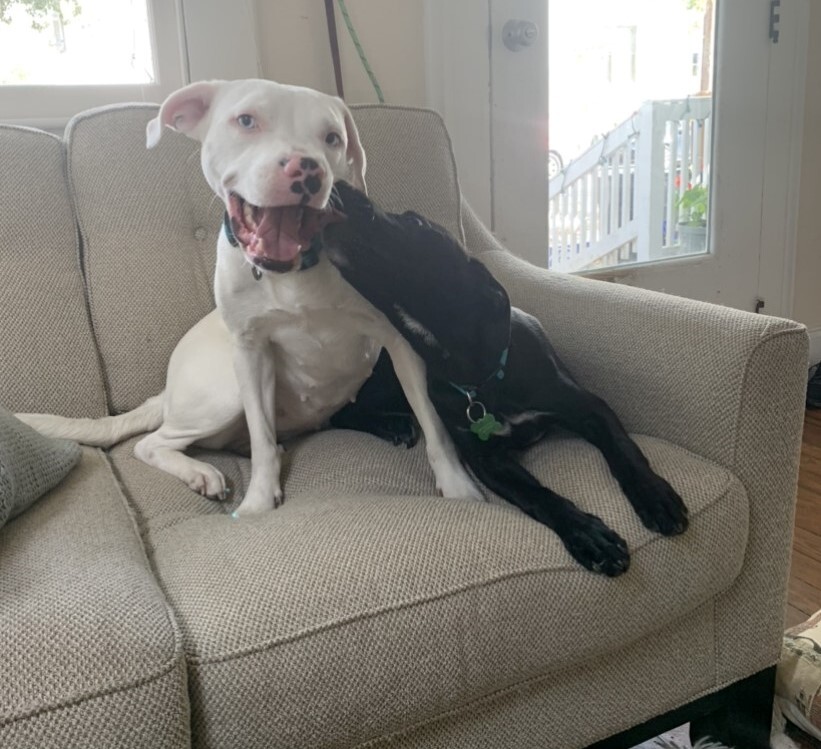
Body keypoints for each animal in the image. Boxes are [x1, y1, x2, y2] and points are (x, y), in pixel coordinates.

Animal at [19, 80, 484, 516]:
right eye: (246, 121)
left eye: (332, 137)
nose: (306, 169)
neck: (294, 271)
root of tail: (164, 394)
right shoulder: (251, 351)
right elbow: (260, 436)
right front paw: (259, 502)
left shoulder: (399, 341)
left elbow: (434, 424)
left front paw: (459, 489)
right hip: (222, 388)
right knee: (152, 443)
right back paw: (202, 472)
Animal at [324, 183, 688, 580]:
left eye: (416, 223)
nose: (342, 188)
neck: (480, 377)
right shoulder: (486, 459)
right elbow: (537, 496)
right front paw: (588, 535)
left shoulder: (588, 405)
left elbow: (625, 449)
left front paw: (655, 496)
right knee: (339, 413)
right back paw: (392, 425)